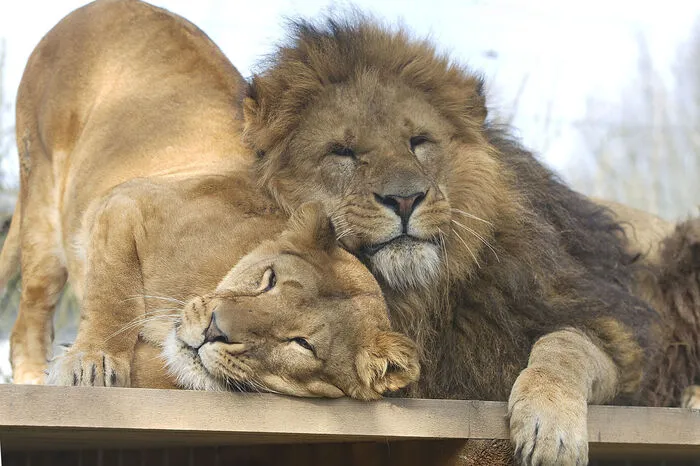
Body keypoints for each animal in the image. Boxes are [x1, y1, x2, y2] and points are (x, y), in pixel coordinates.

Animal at [1, 0, 419, 400]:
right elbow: (114, 294)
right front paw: (92, 360)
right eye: (268, 280)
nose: (215, 329)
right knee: (29, 318)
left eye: (301, 343)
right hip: (42, 209)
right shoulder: (126, 204)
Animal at [241, 17, 699, 464]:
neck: (420, 298)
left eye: (419, 142)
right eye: (342, 152)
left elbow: (565, 344)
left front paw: (549, 426)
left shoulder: (617, 343)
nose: (405, 198)